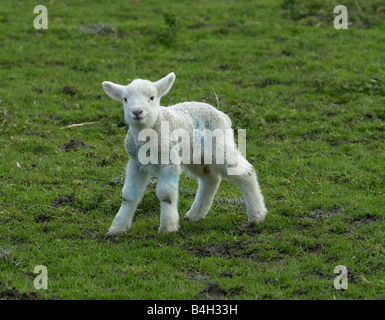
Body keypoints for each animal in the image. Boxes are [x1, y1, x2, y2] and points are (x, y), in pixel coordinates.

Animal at [100, 72, 266, 235]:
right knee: (210, 178)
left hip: (219, 145)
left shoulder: (169, 160)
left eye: (152, 97)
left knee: (245, 171)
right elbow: (128, 195)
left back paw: (257, 215)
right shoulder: (136, 163)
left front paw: (167, 228)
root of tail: (222, 114)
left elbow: (166, 194)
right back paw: (195, 214)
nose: (137, 112)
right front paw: (117, 228)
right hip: (195, 155)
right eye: (125, 99)